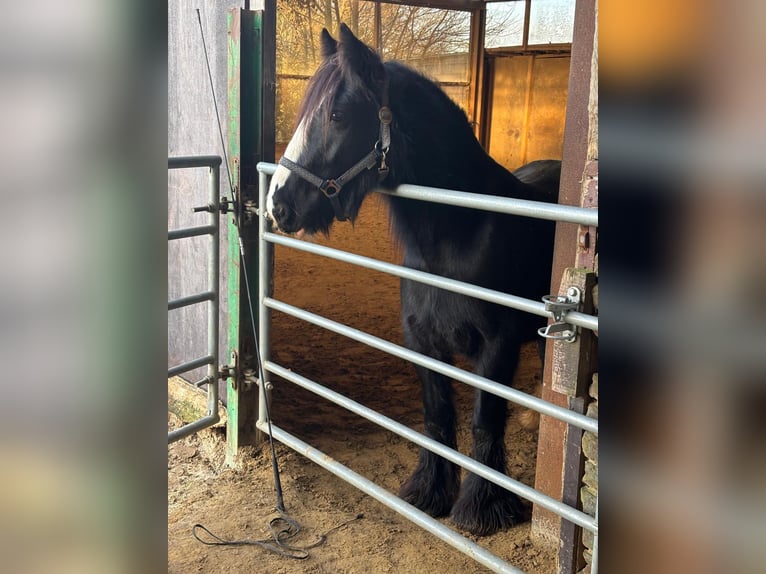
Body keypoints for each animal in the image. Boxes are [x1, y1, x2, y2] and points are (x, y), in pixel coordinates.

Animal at [268, 24, 560, 536]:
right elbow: (437, 416)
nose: (278, 205)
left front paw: (482, 508)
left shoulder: (497, 346)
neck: (461, 232)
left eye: (337, 115)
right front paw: (429, 492)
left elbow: (484, 420)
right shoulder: (422, 340)